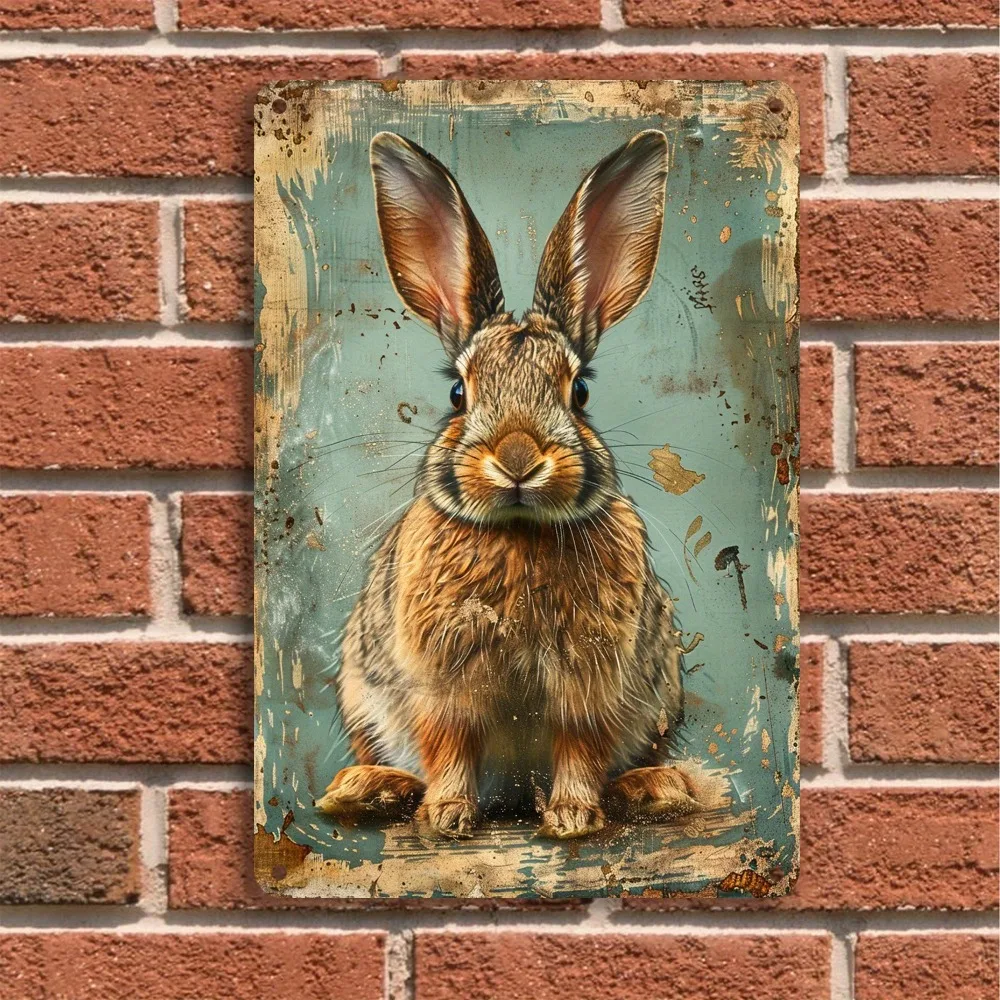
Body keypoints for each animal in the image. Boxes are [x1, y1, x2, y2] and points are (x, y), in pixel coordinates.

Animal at [315, 128, 698, 840]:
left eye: (579, 392)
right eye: (458, 393)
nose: (518, 458)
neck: (519, 531)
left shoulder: (592, 684)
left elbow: (580, 746)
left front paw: (572, 816)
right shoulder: (441, 683)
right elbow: (449, 745)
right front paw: (447, 817)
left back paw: (655, 789)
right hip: (361, 691)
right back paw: (368, 789)